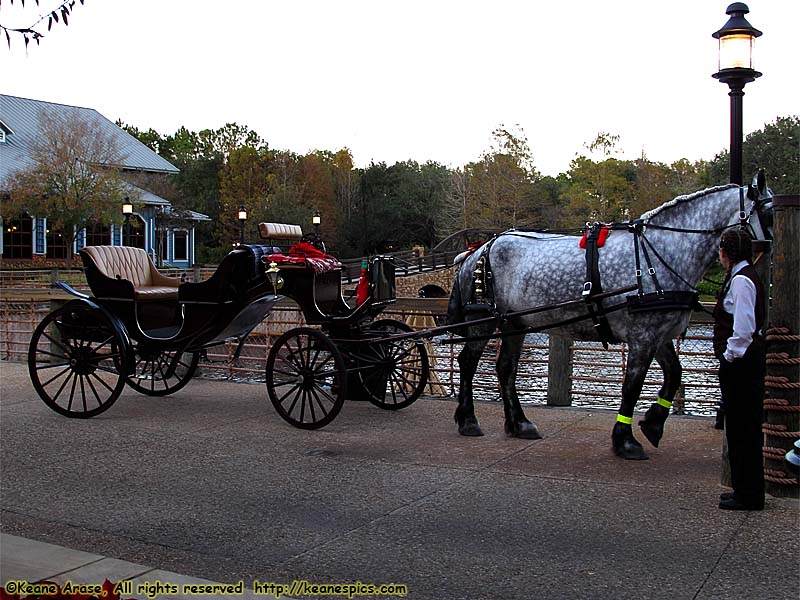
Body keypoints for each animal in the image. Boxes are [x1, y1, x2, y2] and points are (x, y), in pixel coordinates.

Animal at [446, 173, 772, 460]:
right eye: (768, 212)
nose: (766, 254)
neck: (657, 255)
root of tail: (478, 250)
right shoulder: (643, 335)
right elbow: (632, 386)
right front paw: (626, 441)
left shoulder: (659, 334)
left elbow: (674, 374)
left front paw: (653, 423)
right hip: (485, 321)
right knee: (468, 362)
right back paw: (468, 420)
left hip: (515, 322)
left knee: (505, 368)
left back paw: (519, 423)